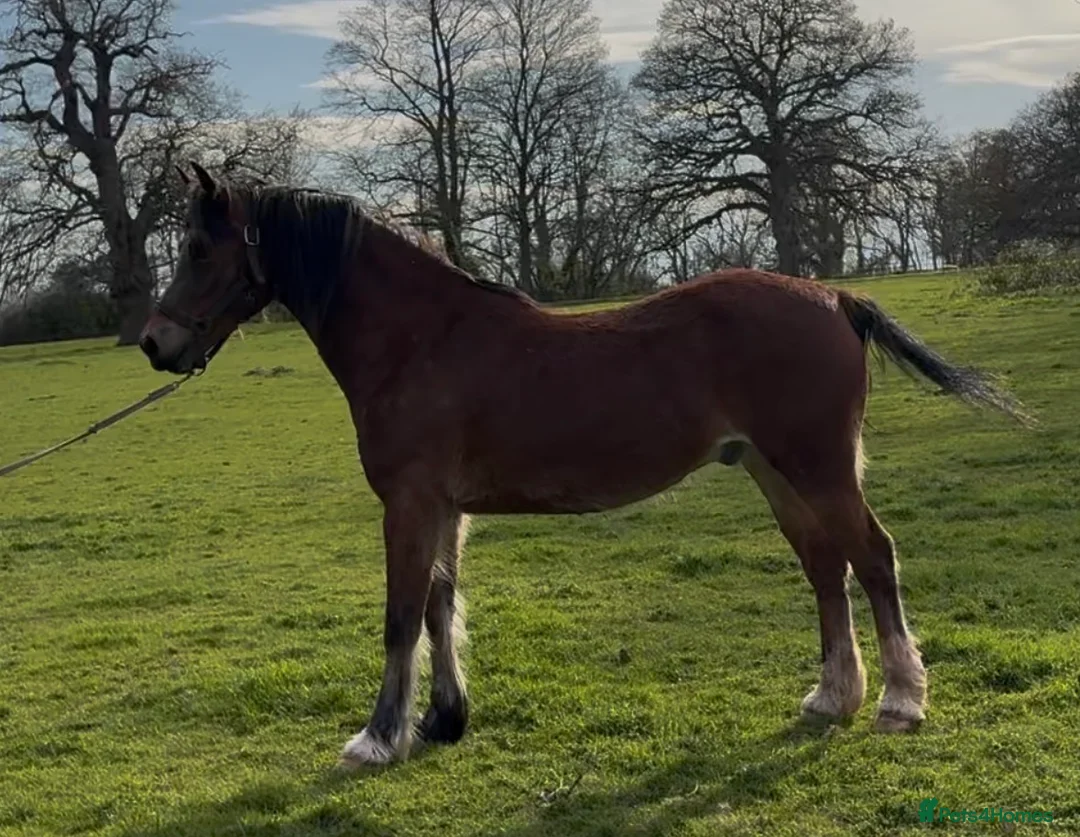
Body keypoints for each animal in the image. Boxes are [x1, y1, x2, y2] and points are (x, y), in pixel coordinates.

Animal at [139, 162, 1029, 768]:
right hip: (775, 472)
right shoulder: (443, 507)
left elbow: (402, 615)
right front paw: (444, 720)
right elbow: (440, 606)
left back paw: (900, 701)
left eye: (198, 246)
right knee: (825, 567)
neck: (421, 339)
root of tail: (836, 299)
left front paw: (377, 737)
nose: (154, 341)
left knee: (872, 557)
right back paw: (832, 695)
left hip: (819, 468)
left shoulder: (409, 503)